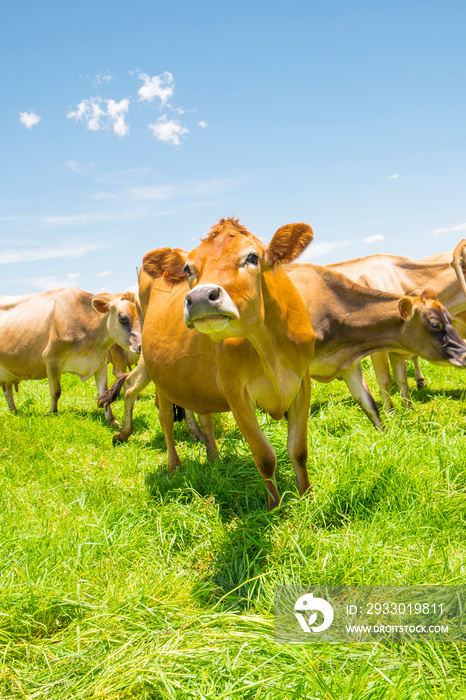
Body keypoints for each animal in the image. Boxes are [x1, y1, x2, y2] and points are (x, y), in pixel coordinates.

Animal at [0, 284, 141, 422]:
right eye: (123, 318)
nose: (141, 346)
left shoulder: (100, 362)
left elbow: (103, 393)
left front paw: (111, 420)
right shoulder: (51, 358)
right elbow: (56, 391)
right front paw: (52, 413)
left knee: (7, 390)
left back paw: (15, 413)